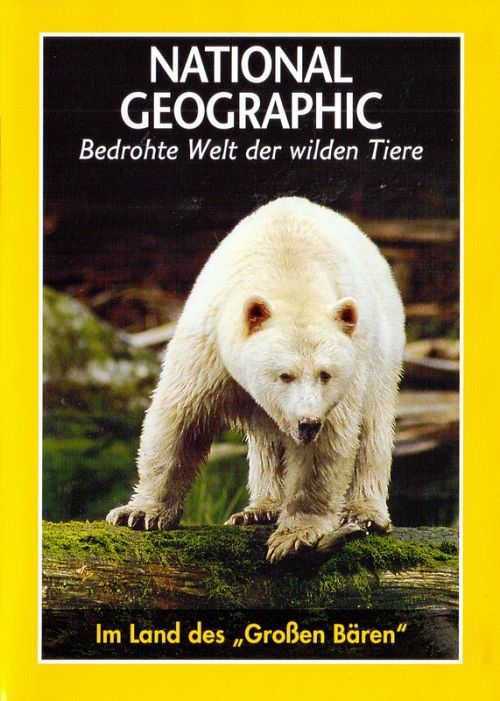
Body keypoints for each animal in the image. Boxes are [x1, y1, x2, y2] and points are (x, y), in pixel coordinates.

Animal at [107, 196, 405, 562]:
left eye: (325, 374)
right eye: (285, 374)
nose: (307, 423)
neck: (288, 271)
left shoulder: (341, 386)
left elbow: (326, 449)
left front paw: (294, 537)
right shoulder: (209, 347)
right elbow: (180, 418)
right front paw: (139, 513)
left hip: (381, 355)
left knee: (373, 430)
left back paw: (364, 514)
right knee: (267, 442)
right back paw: (260, 509)